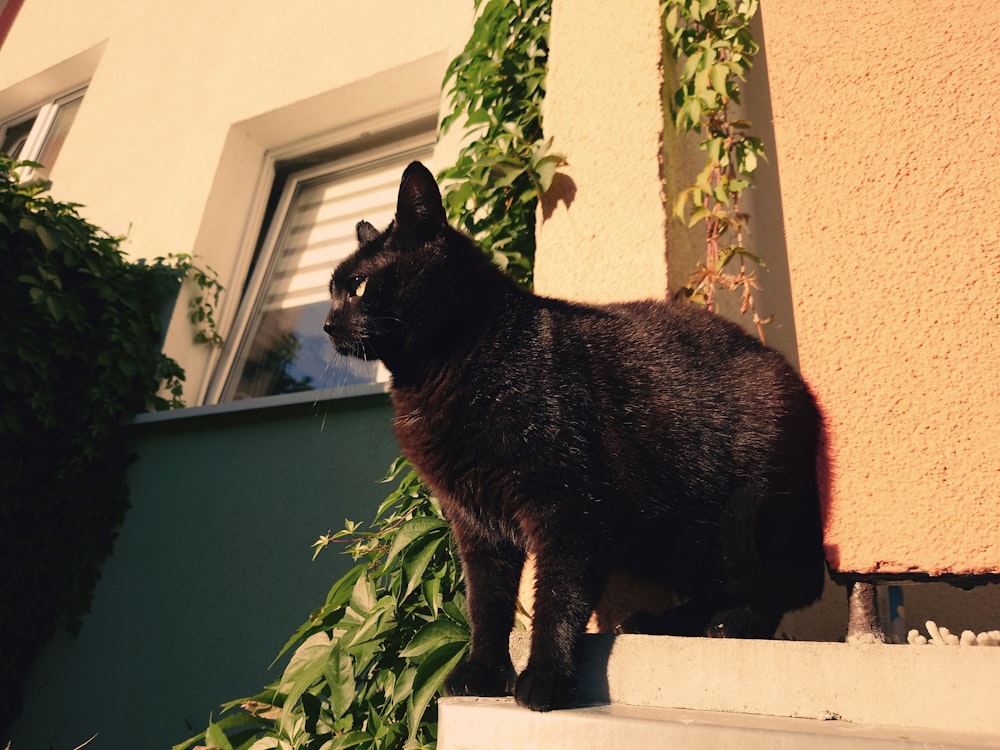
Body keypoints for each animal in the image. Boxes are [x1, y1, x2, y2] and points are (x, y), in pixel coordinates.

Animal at [324, 162, 824, 712]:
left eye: (359, 288)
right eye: (331, 291)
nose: (326, 324)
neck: (446, 368)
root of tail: (789, 373)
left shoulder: (567, 506)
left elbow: (557, 599)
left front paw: (546, 679)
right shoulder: (475, 523)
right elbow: (486, 604)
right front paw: (483, 673)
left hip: (742, 519)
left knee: (788, 585)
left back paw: (734, 624)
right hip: (675, 537)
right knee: (722, 586)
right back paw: (661, 622)